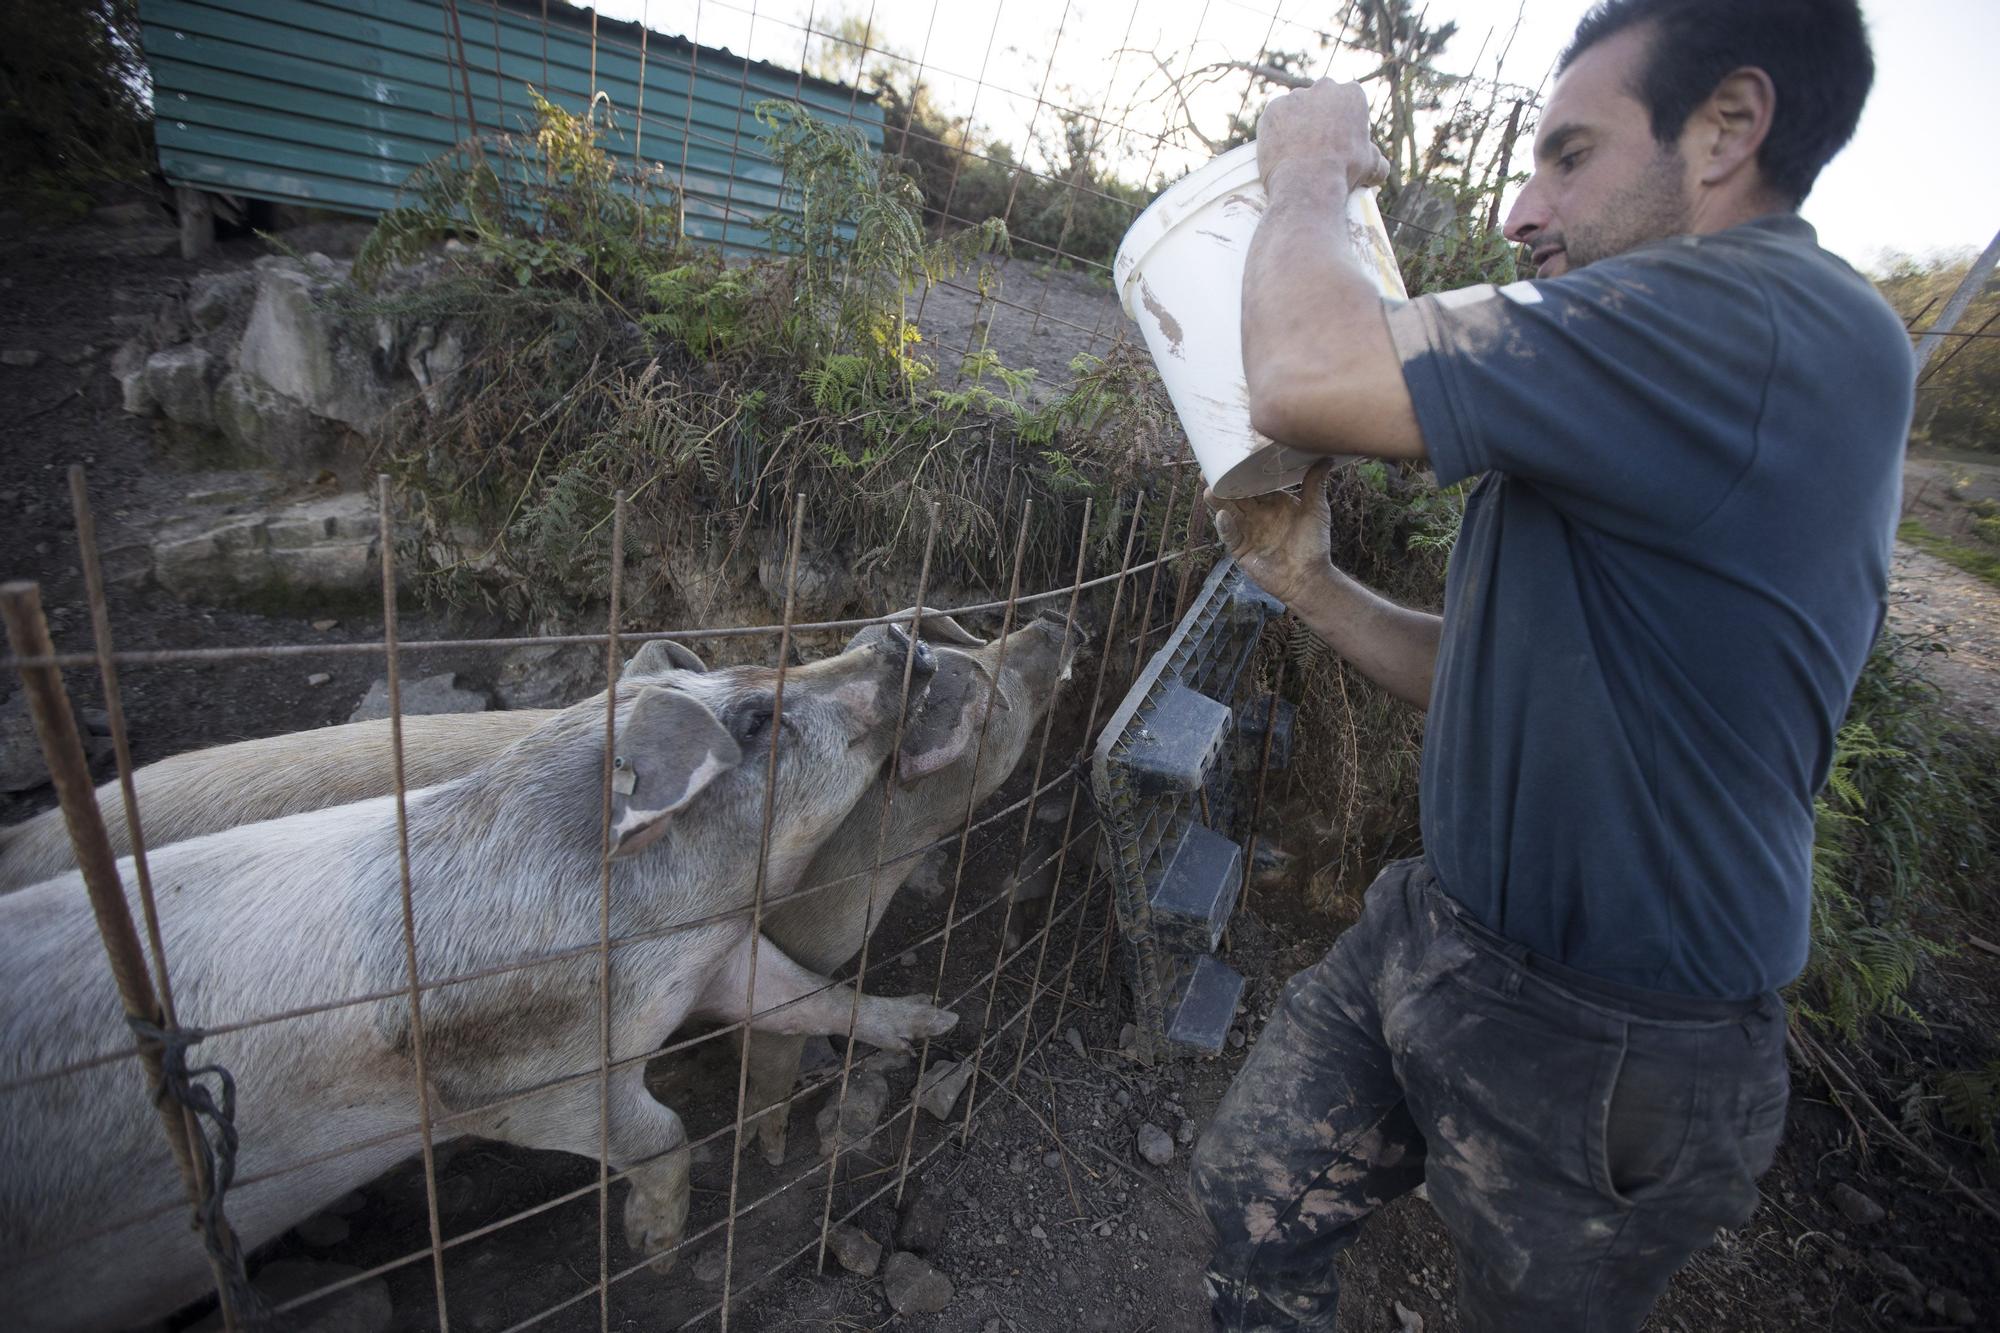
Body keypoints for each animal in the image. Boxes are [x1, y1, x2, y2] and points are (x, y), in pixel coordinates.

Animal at [0, 636, 968, 1328]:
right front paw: (654, 1251)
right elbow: (660, 1133)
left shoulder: (717, 953)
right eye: (762, 718)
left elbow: (809, 993)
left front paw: (939, 1021)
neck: (664, 932)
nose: (893, 635)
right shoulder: (519, 1081)